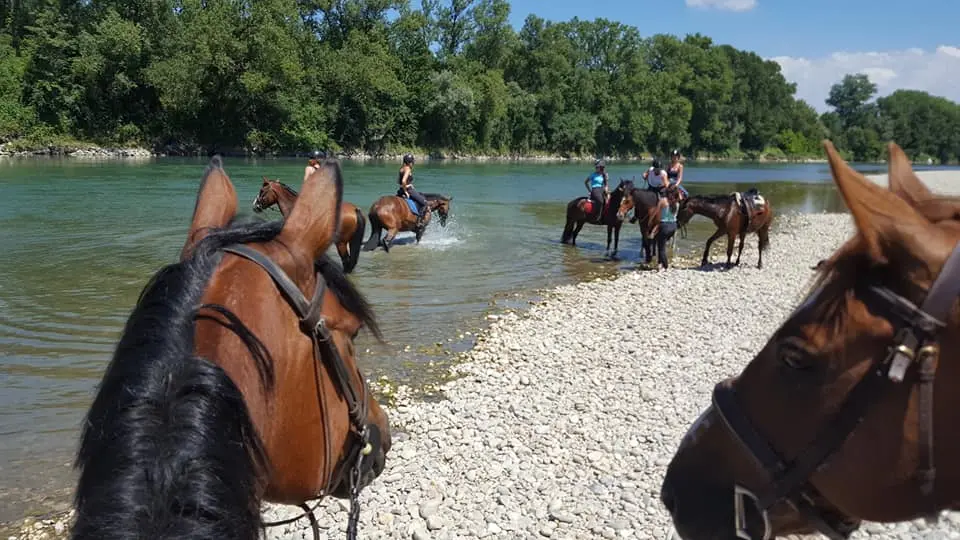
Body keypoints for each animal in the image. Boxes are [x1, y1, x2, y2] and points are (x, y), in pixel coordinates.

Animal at [660, 140, 960, 540]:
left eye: (795, 357)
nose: (674, 491)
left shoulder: (734, 232)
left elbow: (729, 246)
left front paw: (725, 263)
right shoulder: (727, 232)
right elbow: (716, 244)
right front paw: (713, 260)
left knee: (757, 246)